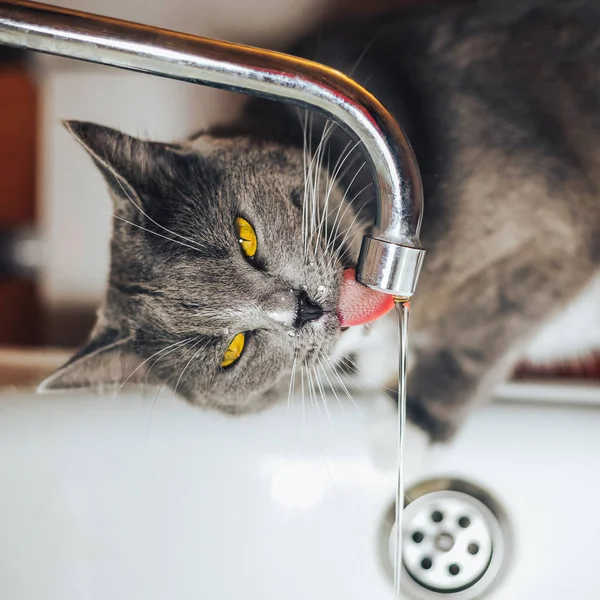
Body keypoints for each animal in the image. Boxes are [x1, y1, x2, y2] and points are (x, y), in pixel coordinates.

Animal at [41, 0, 600, 440]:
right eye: (232, 352)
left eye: (245, 237)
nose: (302, 309)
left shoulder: (546, 239)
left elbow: (473, 334)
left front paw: (403, 429)